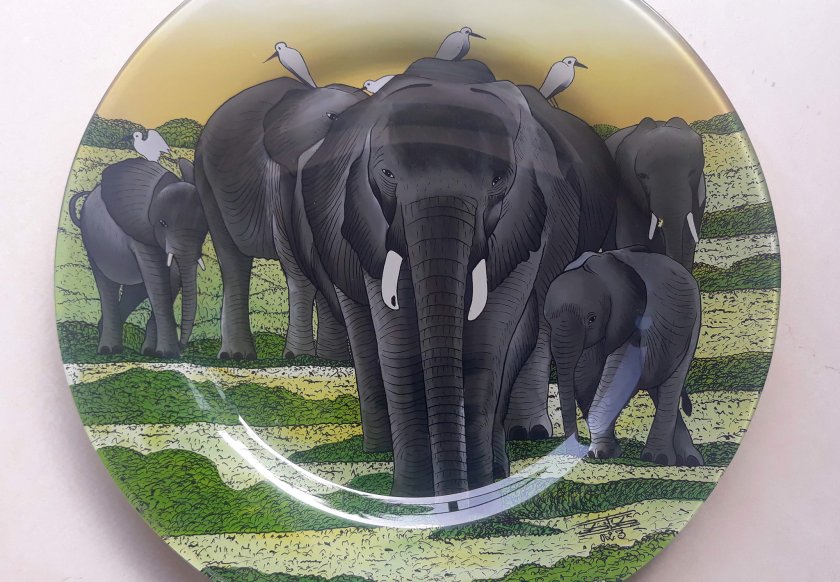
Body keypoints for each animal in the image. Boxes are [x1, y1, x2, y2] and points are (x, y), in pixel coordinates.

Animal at [68, 158, 208, 358]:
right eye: (162, 223)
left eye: (205, 226)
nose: (182, 346)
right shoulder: (140, 233)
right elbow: (158, 283)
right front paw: (168, 354)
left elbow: (170, 282)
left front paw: (154, 353)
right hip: (92, 243)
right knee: (107, 285)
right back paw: (108, 350)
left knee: (135, 291)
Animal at [193, 76, 368, 360]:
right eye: (332, 118)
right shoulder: (279, 179)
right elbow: (299, 268)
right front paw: (298, 357)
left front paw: (330, 359)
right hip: (206, 181)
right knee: (232, 261)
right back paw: (237, 356)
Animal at [289, 57, 619, 496]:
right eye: (387, 173)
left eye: (498, 179)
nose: (450, 495)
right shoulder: (367, 214)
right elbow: (397, 343)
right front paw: (412, 495)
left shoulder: (528, 215)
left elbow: (489, 344)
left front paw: (476, 487)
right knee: (363, 329)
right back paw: (379, 448)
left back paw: (521, 441)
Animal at [544, 246, 703, 466]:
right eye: (547, 322)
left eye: (592, 319)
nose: (574, 453)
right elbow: (585, 381)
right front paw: (606, 452)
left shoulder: (634, 322)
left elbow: (618, 378)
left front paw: (599, 454)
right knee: (658, 388)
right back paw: (688, 459)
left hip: (693, 325)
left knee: (671, 386)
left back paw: (661, 459)